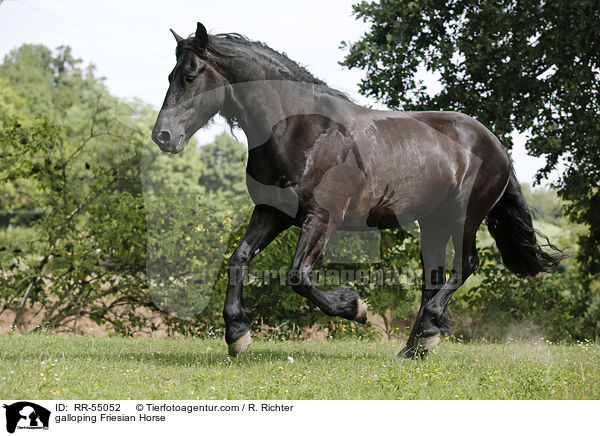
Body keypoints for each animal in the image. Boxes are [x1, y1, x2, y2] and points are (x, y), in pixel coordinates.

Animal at [151, 22, 564, 360]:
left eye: (190, 75)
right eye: (170, 74)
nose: (163, 136)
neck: (301, 129)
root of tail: (494, 142)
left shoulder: (322, 218)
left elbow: (298, 276)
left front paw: (355, 307)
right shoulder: (273, 212)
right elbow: (239, 259)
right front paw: (237, 335)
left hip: (464, 216)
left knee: (466, 266)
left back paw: (428, 332)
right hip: (431, 223)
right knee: (432, 277)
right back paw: (415, 347)